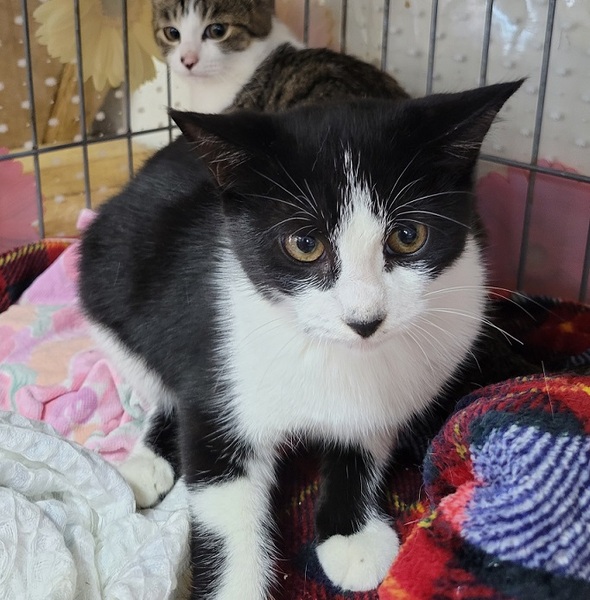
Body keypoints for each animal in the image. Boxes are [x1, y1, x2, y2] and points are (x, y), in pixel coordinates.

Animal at [78, 79, 523, 599]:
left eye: (409, 236)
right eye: (305, 245)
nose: (365, 320)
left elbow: (361, 441)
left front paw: (350, 535)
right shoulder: (219, 374)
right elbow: (222, 492)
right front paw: (236, 587)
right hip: (106, 282)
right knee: (164, 385)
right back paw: (146, 463)